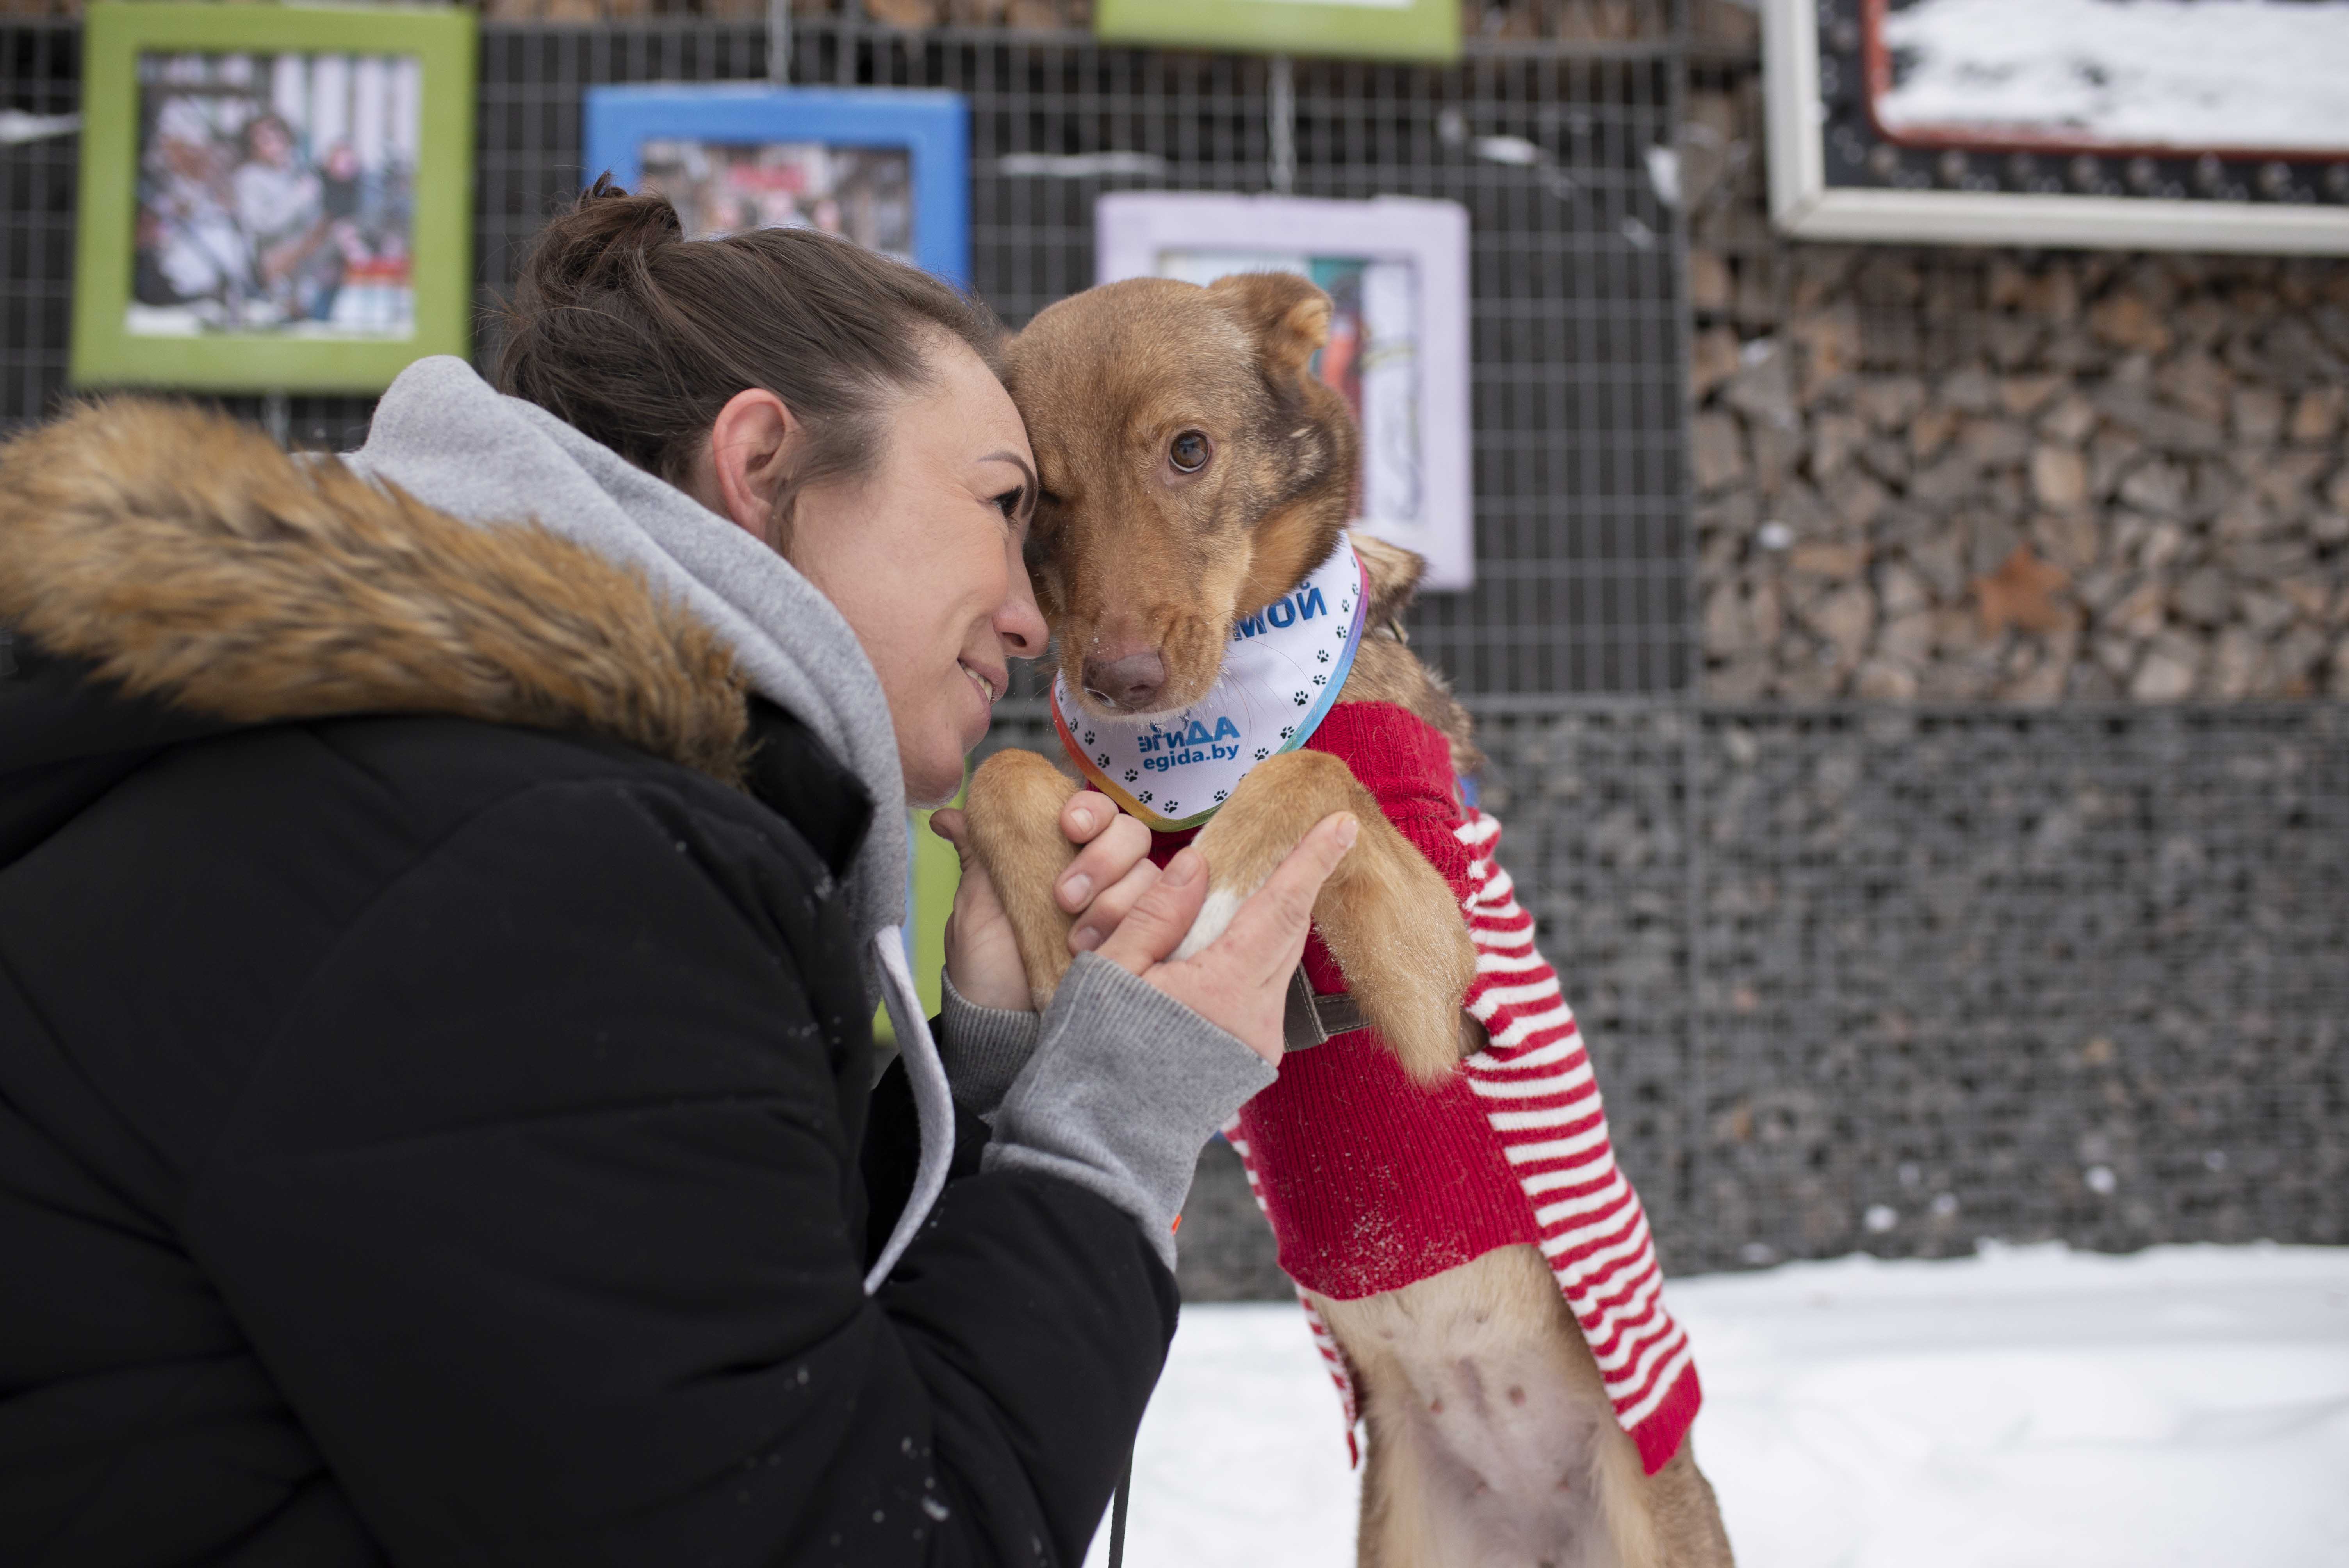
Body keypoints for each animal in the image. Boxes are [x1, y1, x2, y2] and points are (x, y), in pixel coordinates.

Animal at [964, 272, 1734, 1568]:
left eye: (1187, 450)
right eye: (1040, 499)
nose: (1117, 681)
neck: (1207, 743)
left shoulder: (1442, 992)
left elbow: (1309, 778)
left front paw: (1219, 879)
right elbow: (1003, 774)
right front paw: (1061, 900)